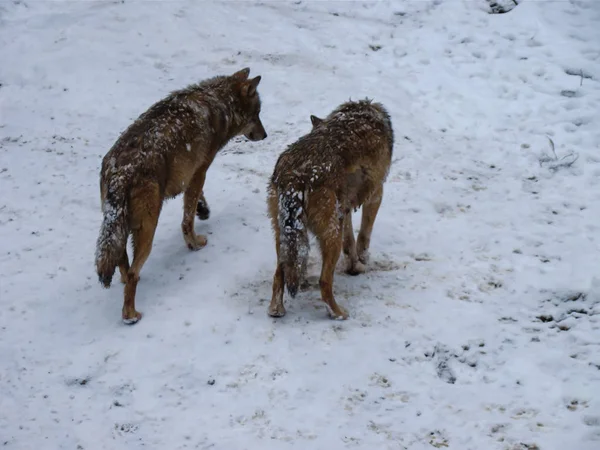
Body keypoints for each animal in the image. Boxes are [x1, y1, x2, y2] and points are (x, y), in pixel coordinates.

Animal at [94, 67, 268, 324]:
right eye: (257, 114)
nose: (265, 135)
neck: (218, 104)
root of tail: (119, 172)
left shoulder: (193, 172)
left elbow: (195, 202)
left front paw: (203, 210)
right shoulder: (201, 170)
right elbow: (187, 219)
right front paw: (194, 243)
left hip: (121, 228)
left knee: (123, 265)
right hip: (147, 229)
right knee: (133, 272)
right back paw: (130, 315)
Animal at [268, 99, 394, 320]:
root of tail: (295, 176)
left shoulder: (344, 208)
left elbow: (350, 243)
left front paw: (354, 265)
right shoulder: (376, 194)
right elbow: (364, 235)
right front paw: (362, 260)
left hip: (284, 236)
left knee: (278, 275)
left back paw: (276, 310)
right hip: (331, 235)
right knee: (324, 282)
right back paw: (339, 313)